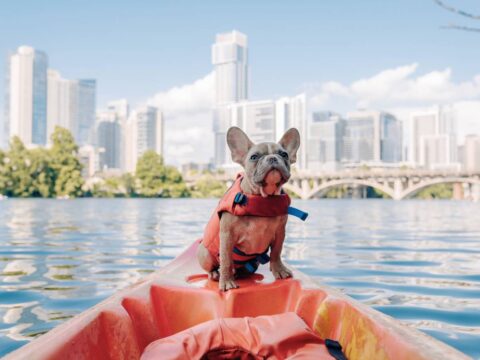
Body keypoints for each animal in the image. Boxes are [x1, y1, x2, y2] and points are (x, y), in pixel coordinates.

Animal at [196, 128, 300, 292]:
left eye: (284, 154)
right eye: (254, 157)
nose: (272, 158)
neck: (264, 198)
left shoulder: (280, 232)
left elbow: (276, 252)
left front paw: (279, 270)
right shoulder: (227, 235)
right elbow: (226, 260)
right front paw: (226, 281)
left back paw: (243, 272)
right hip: (204, 254)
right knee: (213, 266)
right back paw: (215, 274)